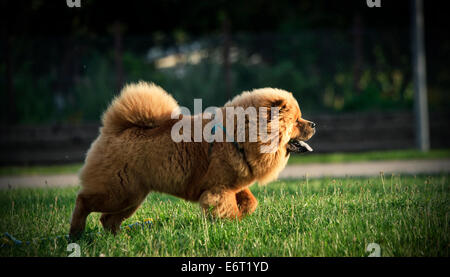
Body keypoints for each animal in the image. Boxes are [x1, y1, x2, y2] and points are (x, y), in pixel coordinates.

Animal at [70, 81, 316, 236]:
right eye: (297, 121)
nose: (313, 124)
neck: (239, 137)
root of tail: (113, 129)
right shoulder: (219, 188)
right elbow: (228, 207)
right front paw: (234, 223)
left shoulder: (233, 184)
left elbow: (250, 201)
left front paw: (244, 214)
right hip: (118, 192)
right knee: (83, 201)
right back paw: (76, 233)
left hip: (132, 196)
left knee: (107, 220)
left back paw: (120, 240)